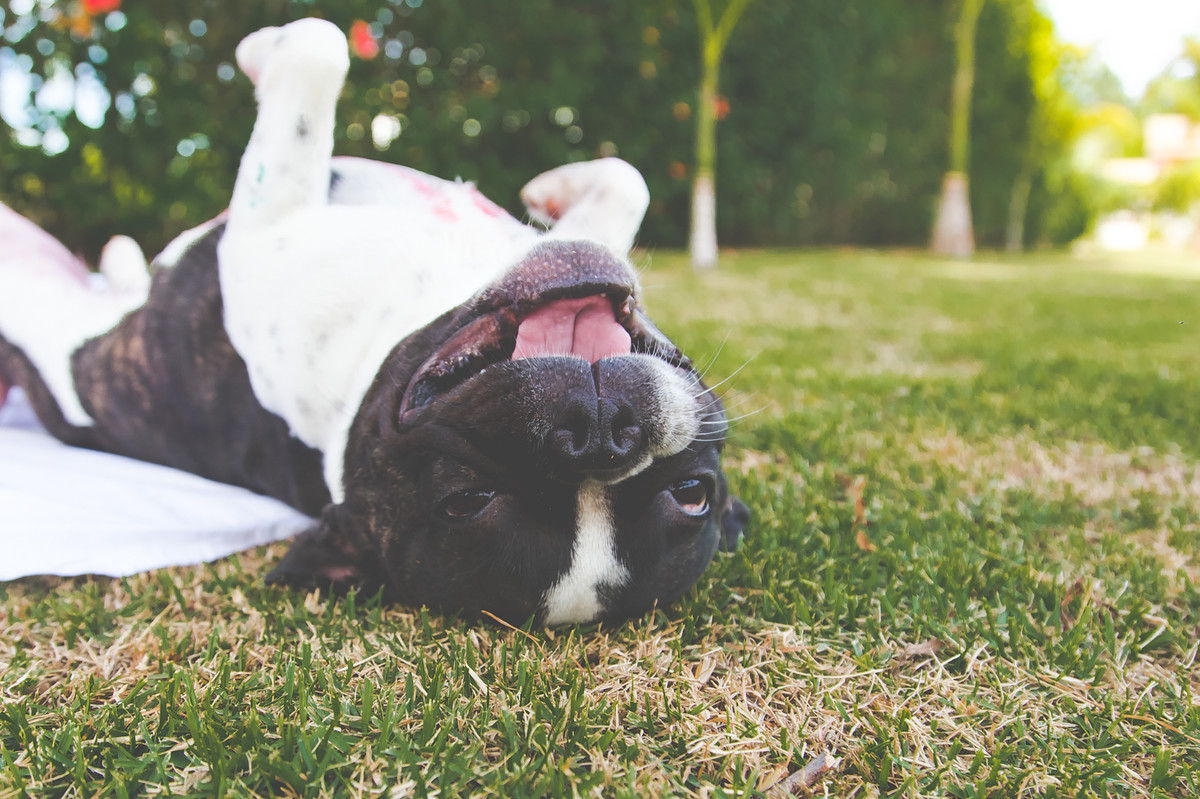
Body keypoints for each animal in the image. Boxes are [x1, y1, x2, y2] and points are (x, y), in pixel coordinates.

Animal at [0, 19, 748, 624]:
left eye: (465, 499)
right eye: (694, 492)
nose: (601, 432)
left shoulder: (263, 234)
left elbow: (316, 49)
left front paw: (261, 51)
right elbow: (626, 178)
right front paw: (552, 190)